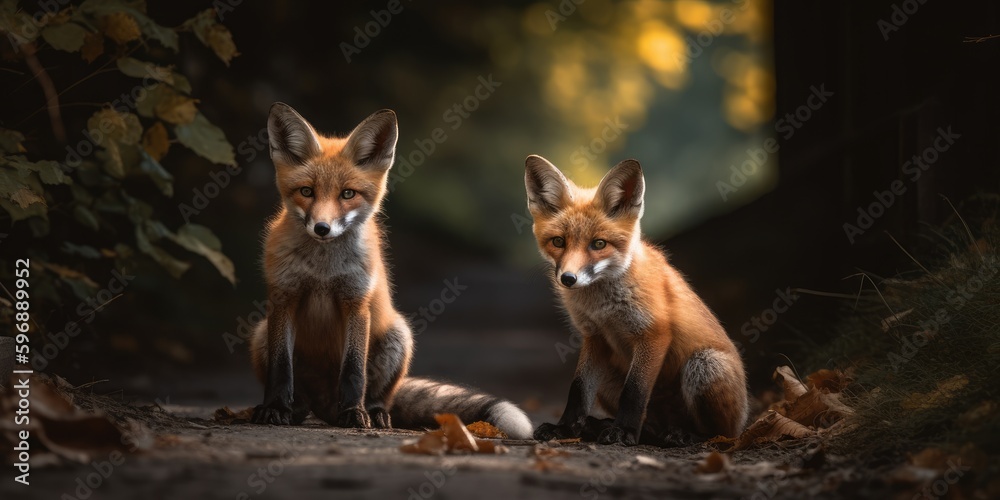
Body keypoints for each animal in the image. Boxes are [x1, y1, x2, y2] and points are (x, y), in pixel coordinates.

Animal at [248, 103, 532, 439]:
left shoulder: (356, 302)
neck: (323, 272)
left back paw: (372, 413)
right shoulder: (283, 298)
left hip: (399, 335)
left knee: (378, 397)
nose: (322, 228)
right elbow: (281, 368)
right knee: (302, 401)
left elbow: (354, 370)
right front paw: (275, 408)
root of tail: (324, 404)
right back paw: (295, 411)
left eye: (347, 194)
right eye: (306, 191)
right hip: (262, 333)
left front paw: (354, 412)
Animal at [523, 155, 749, 446]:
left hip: (705, 364)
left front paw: (624, 431)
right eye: (558, 242)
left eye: (599, 244)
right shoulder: (594, 337)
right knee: (650, 429)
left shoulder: (653, 333)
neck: (603, 306)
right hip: (611, 374)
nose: (568, 279)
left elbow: (634, 392)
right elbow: (578, 390)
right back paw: (605, 427)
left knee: (716, 434)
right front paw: (565, 429)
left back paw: (682, 435)